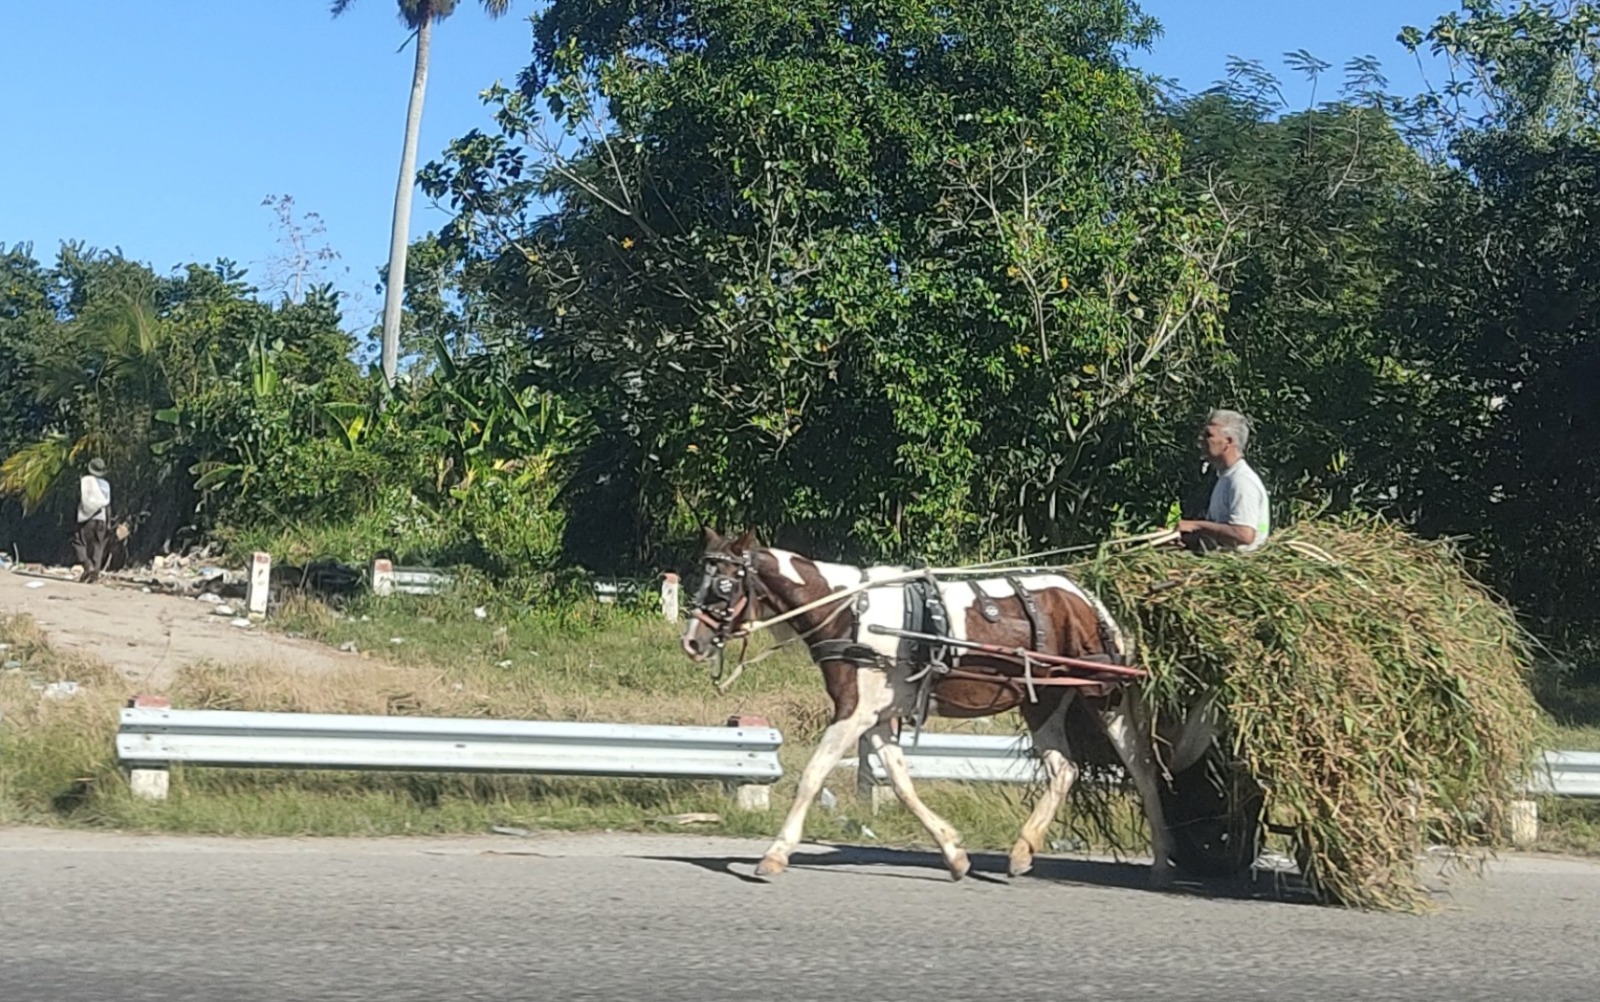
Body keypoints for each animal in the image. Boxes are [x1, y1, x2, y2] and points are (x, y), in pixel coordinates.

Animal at [680, 528, 1186, 886]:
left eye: (723, 585)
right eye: (700, 580)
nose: (691, 642)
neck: (851, 612)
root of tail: (1087, 596)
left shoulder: (854, 712)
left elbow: (812, 775)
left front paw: (775, 854)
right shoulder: (879, 718)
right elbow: (902, 783)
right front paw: (954, 854)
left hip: (1103, 694)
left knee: (1139, 766)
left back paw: (1162, 857)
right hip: (1045, 699)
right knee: (1068, 769)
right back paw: (1025, 851)